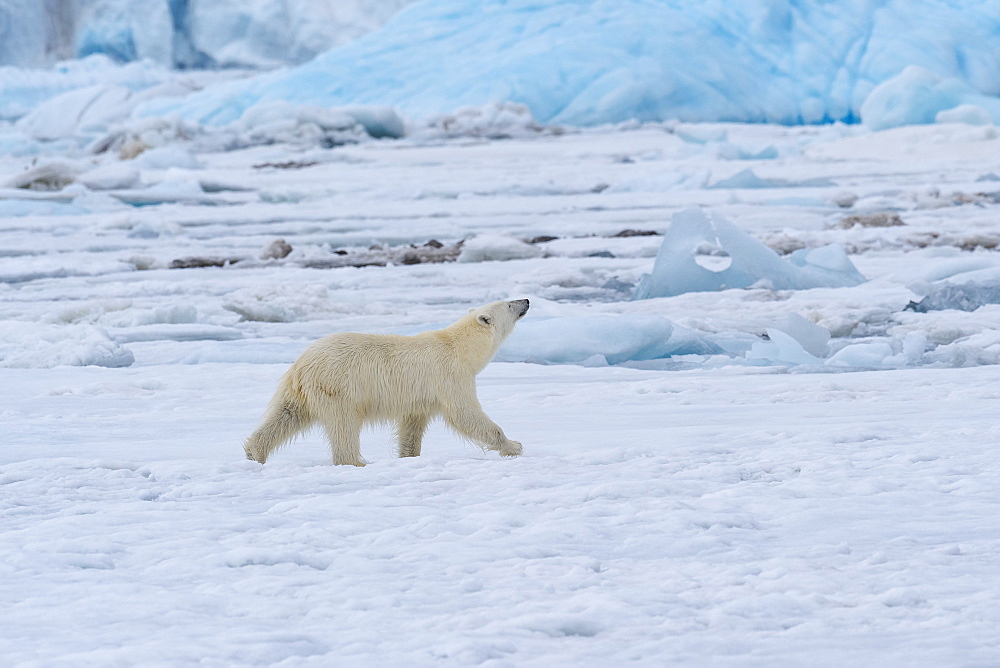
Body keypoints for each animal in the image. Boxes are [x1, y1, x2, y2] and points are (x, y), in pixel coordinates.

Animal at [246, 302, 528, 464]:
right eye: (508, 304)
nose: (525, 300)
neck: (461, 348)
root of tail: (302, 363)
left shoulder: (420, 396)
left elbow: (412, 425)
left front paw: (409, 456)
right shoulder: (450, 376)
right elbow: (465, 414)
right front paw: (514, 446)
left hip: (301, 391)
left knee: (286, 416)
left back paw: (254, 452)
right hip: (339, 387)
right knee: (344, 424)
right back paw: (355, 461)